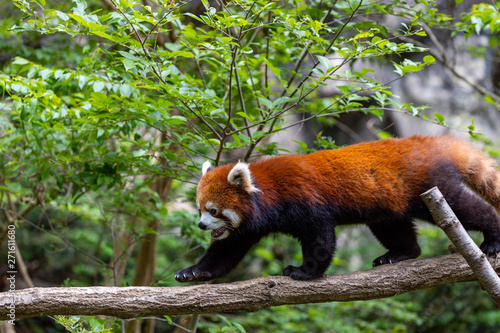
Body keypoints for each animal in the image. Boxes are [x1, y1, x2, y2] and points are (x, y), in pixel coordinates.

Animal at [175, 135, 500, 280]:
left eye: (213, 210)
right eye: (199, 209)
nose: (202, 225)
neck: (268, 193)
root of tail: (433, 143)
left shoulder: (306, 203)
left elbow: (321, 239)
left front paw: (303, 272)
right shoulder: (250, 225)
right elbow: (226, 252)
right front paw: (192, 272)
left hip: (431, 189)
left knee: (465, 209)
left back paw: (493, 239)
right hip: (388, 204)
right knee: (394, 228)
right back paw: (400, 254)